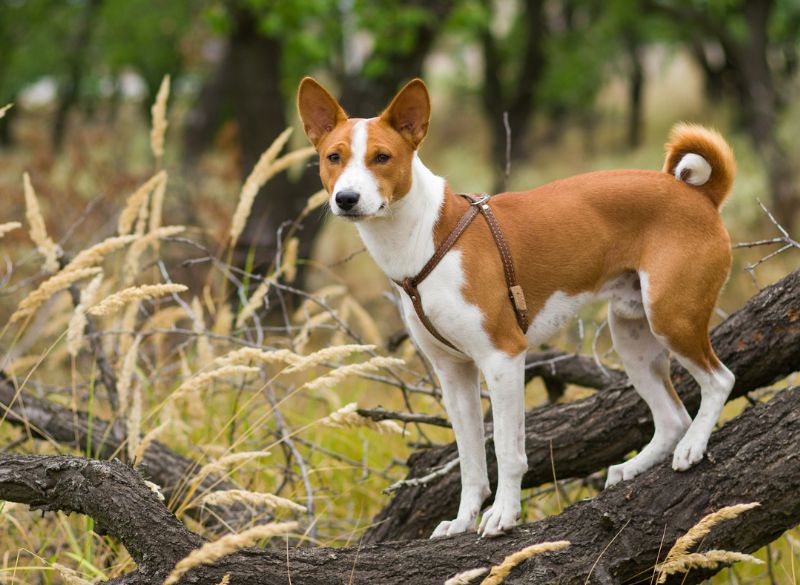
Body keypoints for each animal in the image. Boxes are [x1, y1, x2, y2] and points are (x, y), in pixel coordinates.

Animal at [296, 77, 736, 540]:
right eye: (333, 157)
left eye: (382, 157)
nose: (347, 198)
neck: (423, 240)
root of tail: (699, 195)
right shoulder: (454, 373)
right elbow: (470, 461)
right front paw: (462, 520)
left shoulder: (504, 356)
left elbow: (508, 452)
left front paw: (504, 515)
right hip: (632, 334)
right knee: (672, 417)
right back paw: (633, 467)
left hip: (672, 317)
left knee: (719, 380)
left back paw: (694, 446)